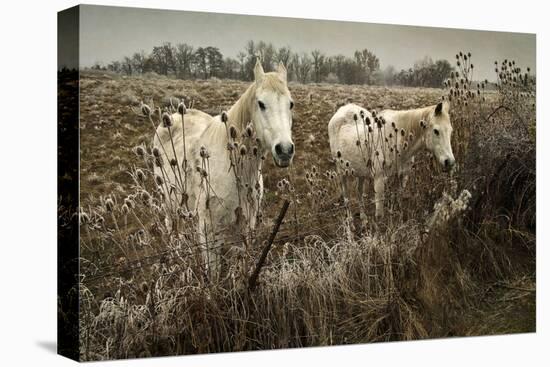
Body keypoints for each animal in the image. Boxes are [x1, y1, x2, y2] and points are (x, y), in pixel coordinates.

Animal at [153, 59, 296, 278]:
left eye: (290, 104)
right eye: (261, 104)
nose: (285, 150)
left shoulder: (246, 223)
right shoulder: (208, 228)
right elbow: (212, 271)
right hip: (169, 202)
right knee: (172, 228)